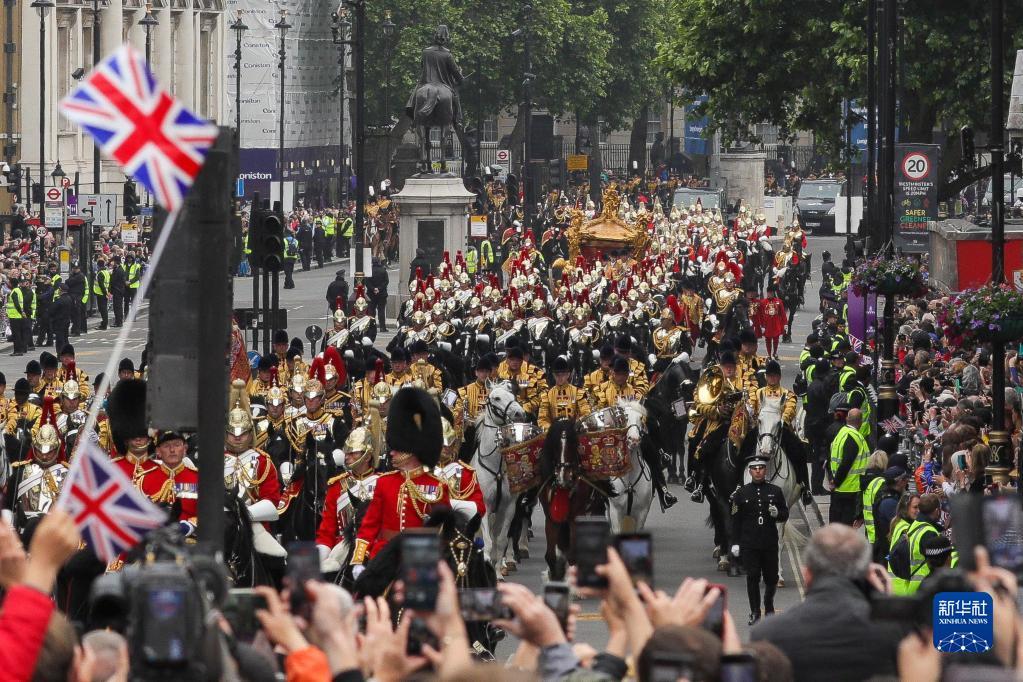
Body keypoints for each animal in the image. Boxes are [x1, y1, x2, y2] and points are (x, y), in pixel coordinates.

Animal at [470, 382, 527, 580]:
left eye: (513, 395)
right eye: (496, 398)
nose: (519, 413)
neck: (497, 468)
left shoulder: (509, 507)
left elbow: (500, 541)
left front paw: (497, 573)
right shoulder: (485, 505)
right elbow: (487, 542)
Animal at [748, 400, 802, 588]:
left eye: (779, 423)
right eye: (759, 420)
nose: (765, 451)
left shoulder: (780, 509)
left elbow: (777, 540)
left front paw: (777, 575)